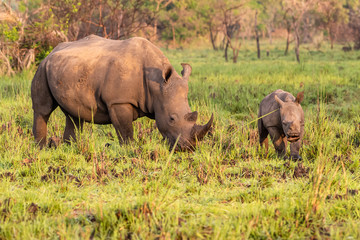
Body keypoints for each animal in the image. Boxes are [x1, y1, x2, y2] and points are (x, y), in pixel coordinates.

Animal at [31, 34, 212, 151]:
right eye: (172, 118)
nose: (188, 148)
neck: (156, 86)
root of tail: (52, 50)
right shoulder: (119, 101)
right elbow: (125, 130)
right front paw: (130, 150)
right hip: (42, 67)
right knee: (43, 110)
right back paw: (41, 149)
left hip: (69, 69)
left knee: (75, 116)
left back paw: (70, 148)